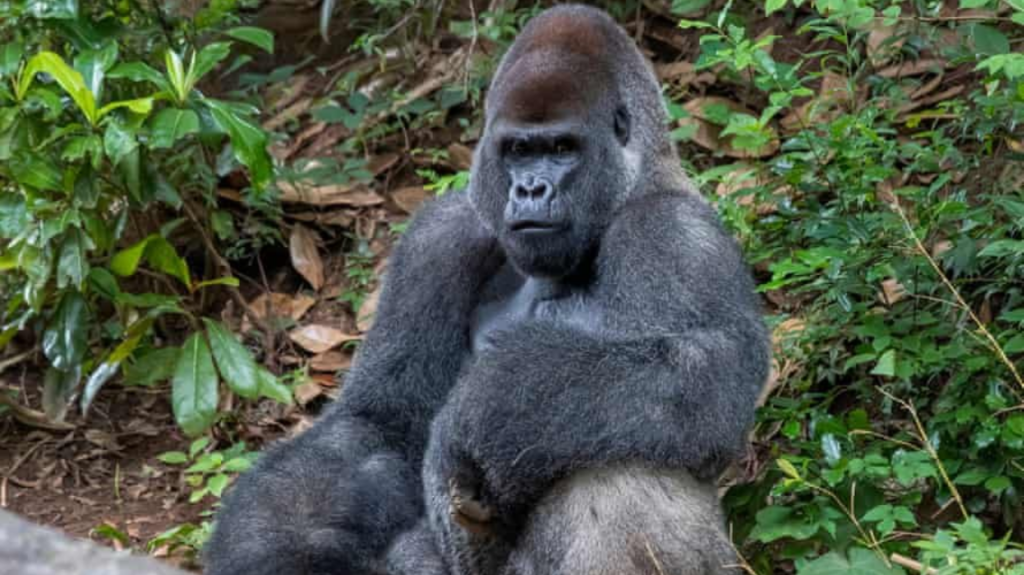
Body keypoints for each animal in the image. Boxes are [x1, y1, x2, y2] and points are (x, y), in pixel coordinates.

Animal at [204, 5, 768, 575]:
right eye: (518, 150)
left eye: (562, 148)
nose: (531, 189)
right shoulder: (438, 236)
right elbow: (378, 421)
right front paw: (271, 545)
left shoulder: (673, 231)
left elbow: (705, 375)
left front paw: (485, 407)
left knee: (619, 461)